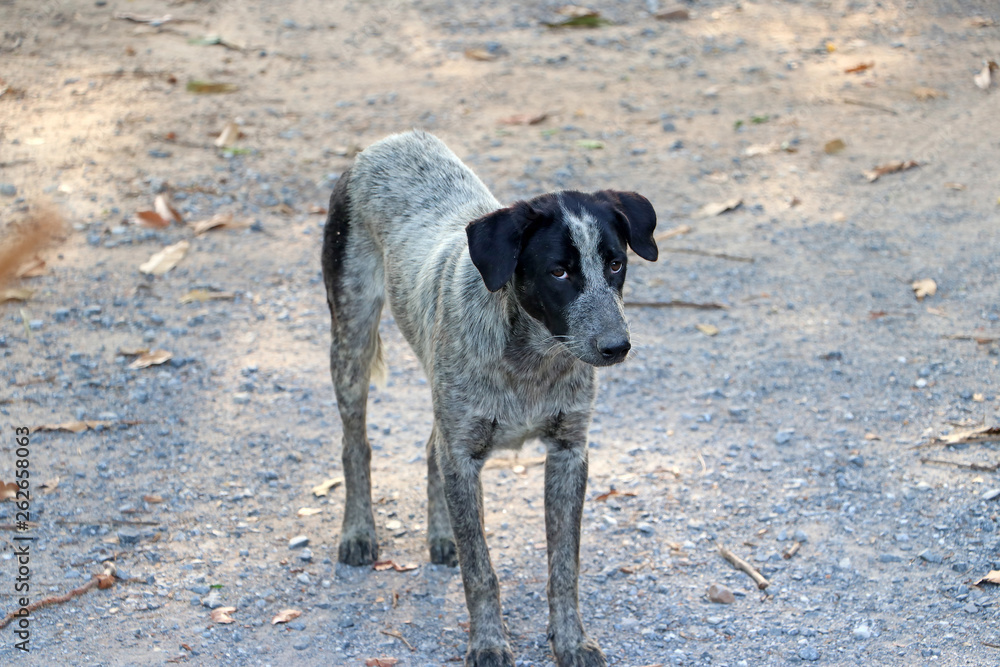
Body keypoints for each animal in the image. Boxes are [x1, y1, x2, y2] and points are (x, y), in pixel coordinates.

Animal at [324, 132, 660, 667]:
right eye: (558, 272)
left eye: (615, 262)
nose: (617, 346)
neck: (533, 357)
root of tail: (391, 140)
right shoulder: (464, 455)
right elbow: (480, 571)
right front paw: (487, 642)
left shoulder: (568, 453)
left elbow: (563, 568)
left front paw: (570, 640)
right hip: (351, 338)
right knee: (355, 442)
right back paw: (358, 531)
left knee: (430, 449)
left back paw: (442, 535)